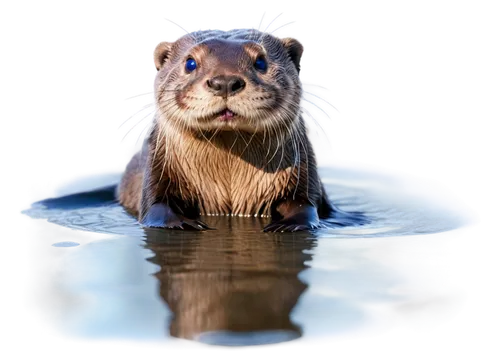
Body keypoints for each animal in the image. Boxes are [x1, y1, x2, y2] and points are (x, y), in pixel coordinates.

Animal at [117, 25, 336, 232]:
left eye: (260, 62)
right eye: (190, 63)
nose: (225, 82)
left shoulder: (303, 175)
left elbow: (304, 205)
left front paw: (287, 224)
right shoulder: (158, 172)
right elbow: (156, 207)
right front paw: (182, 223)